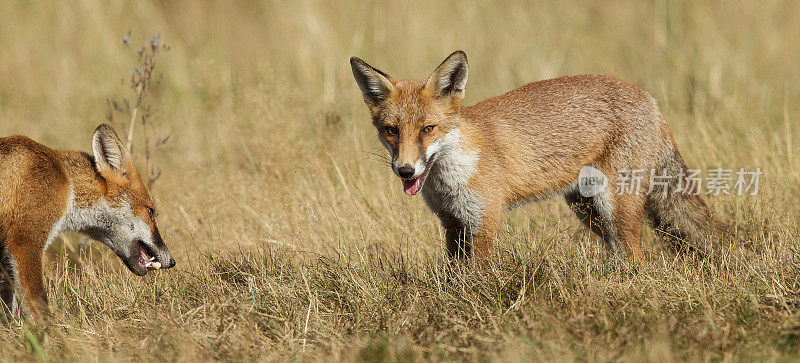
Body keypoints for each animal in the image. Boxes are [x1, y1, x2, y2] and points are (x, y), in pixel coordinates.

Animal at [0, 124, 176, 318]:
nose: (172, 262)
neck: (66, 183)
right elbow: (39, 307)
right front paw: (50, 328)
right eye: (150, 211)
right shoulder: (25, 243)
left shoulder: (6, 256)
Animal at [350, 50, 732, 262]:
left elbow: (478, 278)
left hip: (616, 207)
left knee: (638, 259)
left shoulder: (485, 221)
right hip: (589, 210)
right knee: (621, 256)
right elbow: (454, 276)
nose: (405, 170)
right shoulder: (453, 224)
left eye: (428, 129)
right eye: (391, 131)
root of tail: (648, 98)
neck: (453, 175)